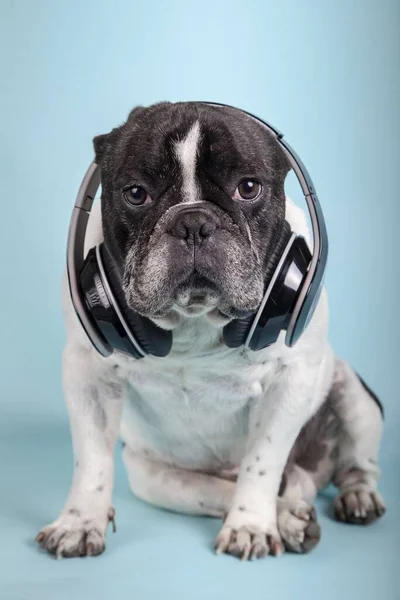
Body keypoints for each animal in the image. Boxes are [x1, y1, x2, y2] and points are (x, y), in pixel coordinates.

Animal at [36, 102, 386, 556]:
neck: (195, 321)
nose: (193, 222)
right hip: (150, 476)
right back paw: (289, 516)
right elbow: (91, 459)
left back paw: (355, 498)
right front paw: (79, 522)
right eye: (136, 193)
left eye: (248, 188)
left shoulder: (292, 378)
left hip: (356, 400)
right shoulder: (87, 373)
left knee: (355, 465)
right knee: (228, 490)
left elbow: (262, 461)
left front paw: (250, 524)